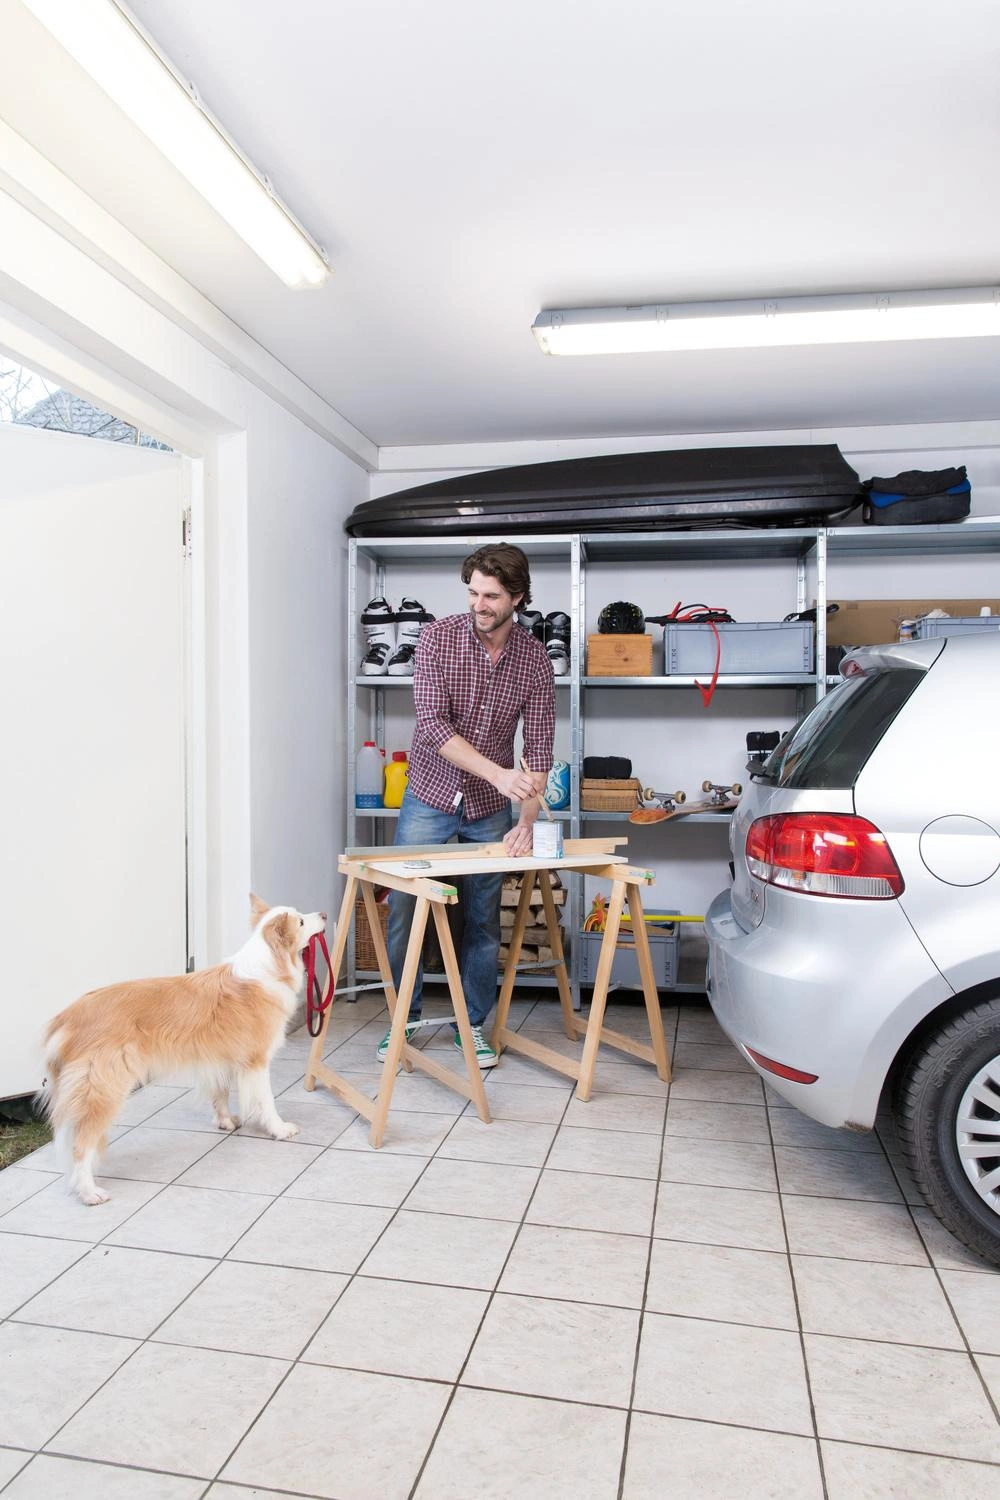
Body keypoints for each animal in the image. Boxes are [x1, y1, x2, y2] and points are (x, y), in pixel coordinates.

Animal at [41, 894, 328, 1205]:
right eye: (301, 922)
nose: (325, 915)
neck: (268, 967)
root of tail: (66, 1018)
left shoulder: (220, 1057)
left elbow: (220, 1093)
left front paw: (225, 1121)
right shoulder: (256, 1061)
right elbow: (266, 1101)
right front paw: (279, 1129)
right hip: (103, 1089)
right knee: (81, 1146)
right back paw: (89, 1191)